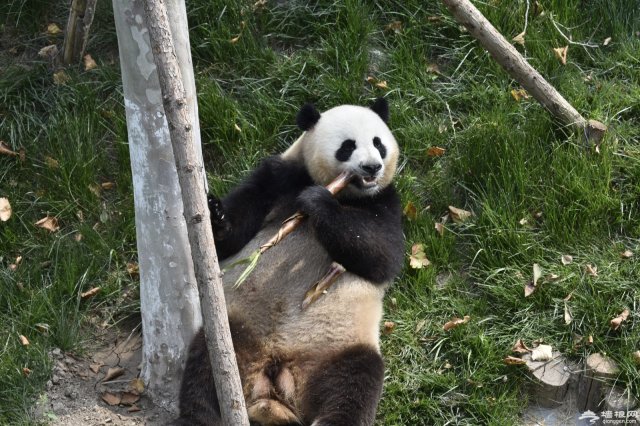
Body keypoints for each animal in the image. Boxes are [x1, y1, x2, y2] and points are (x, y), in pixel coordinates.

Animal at [178, 97, 402, 426]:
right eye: (348, 146)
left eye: (378, 143)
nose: (372, 167)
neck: (348, 194)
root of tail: (276, 376)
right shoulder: (277, 176)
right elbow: (229, 239)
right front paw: (216, 215)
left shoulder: (385, 200)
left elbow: (382, 256)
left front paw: (317, 201)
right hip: (236, 331)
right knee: (205, 373)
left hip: (339, 347)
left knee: (354, 384)